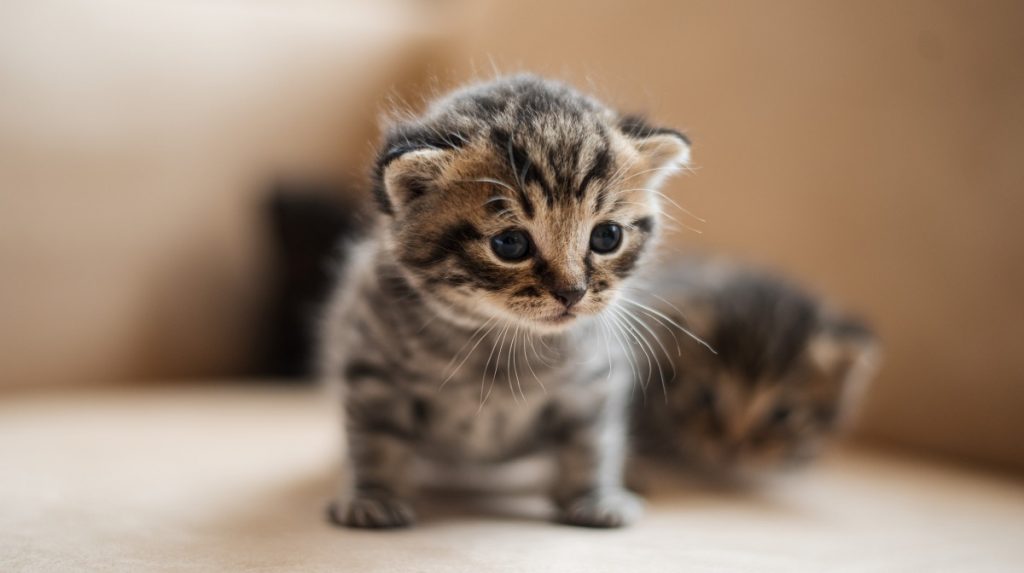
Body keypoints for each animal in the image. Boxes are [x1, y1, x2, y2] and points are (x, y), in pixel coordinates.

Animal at [319, 75, 688, 527]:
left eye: (607, 236)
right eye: (510, 244)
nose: (573, 292)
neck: (501, 341)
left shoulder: (593, 380)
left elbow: (592, 441)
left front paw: (595, 496)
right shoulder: (371, 367)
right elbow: (375, 440)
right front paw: (373, 496)